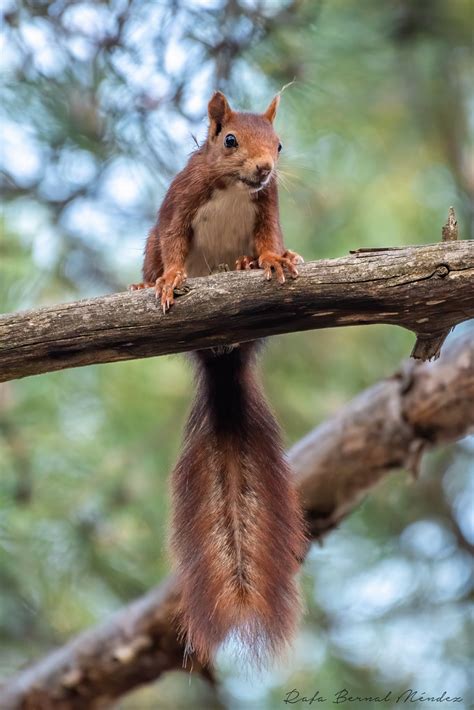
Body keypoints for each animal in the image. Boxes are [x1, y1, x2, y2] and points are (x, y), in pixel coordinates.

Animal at [130, 92, 308, 664]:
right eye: (229, 140)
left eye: (280, 144)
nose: (264, 169)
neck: (232, 189)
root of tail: (222, 356)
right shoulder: (179, 202)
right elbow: (172, 242)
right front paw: (167, 280)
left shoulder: (267, 205)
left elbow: (269, 236)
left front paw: (272, 258)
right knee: (154, 249)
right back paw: (142, 282)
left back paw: (249, 263)